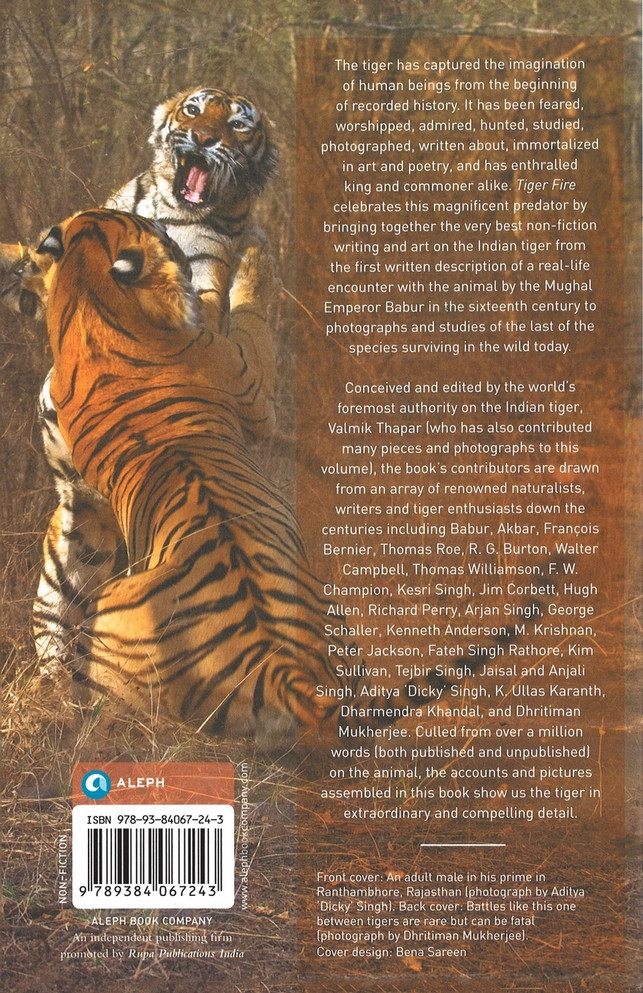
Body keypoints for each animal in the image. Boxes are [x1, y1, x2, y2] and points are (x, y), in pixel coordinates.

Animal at [0, 86, 279, 667]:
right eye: (194, 109)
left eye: (238, 125)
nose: (203, 138)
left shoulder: (253, 391)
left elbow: (246, 300)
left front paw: (255, 242)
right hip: (68, 555)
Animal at [35, 208, 345, 744]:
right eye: (157, 232)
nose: (175, 244)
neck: (86, 292)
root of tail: (279, 670)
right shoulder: (251, 386)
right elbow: (234, 298)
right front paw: (250, 250)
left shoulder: (84, 490)